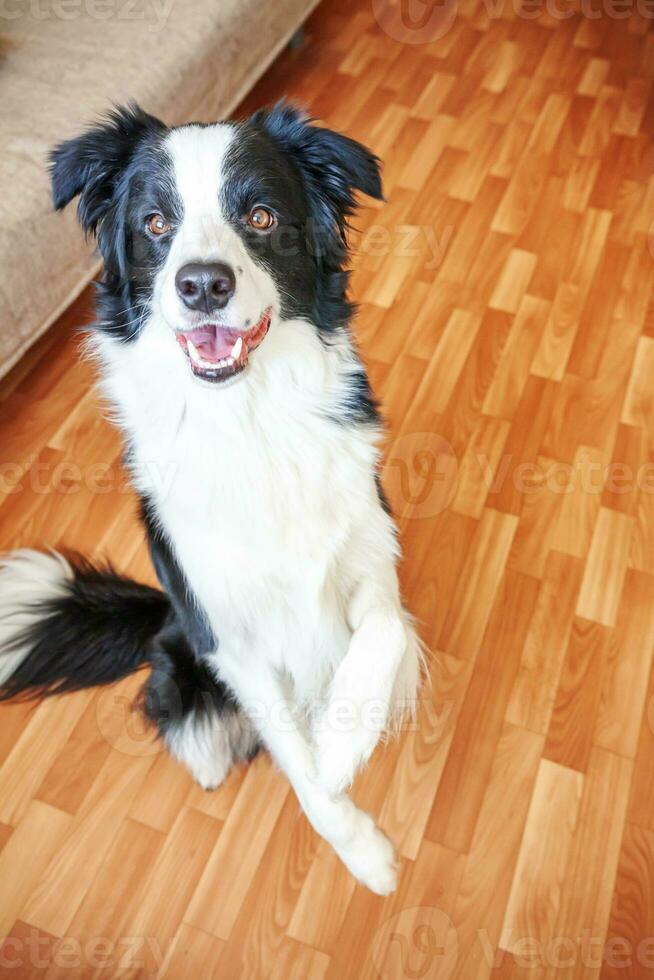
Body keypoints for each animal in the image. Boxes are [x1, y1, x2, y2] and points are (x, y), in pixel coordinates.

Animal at [0, 105, 426, 896]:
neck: (248, 417)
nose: (203, 285)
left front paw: (343, 742)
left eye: (260, 215)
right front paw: (365, 851)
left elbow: (383, 635)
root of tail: (160, 620)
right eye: (156, 223)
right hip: (185, 647)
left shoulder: (368, 551)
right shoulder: (232, 638)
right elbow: (301, 770)